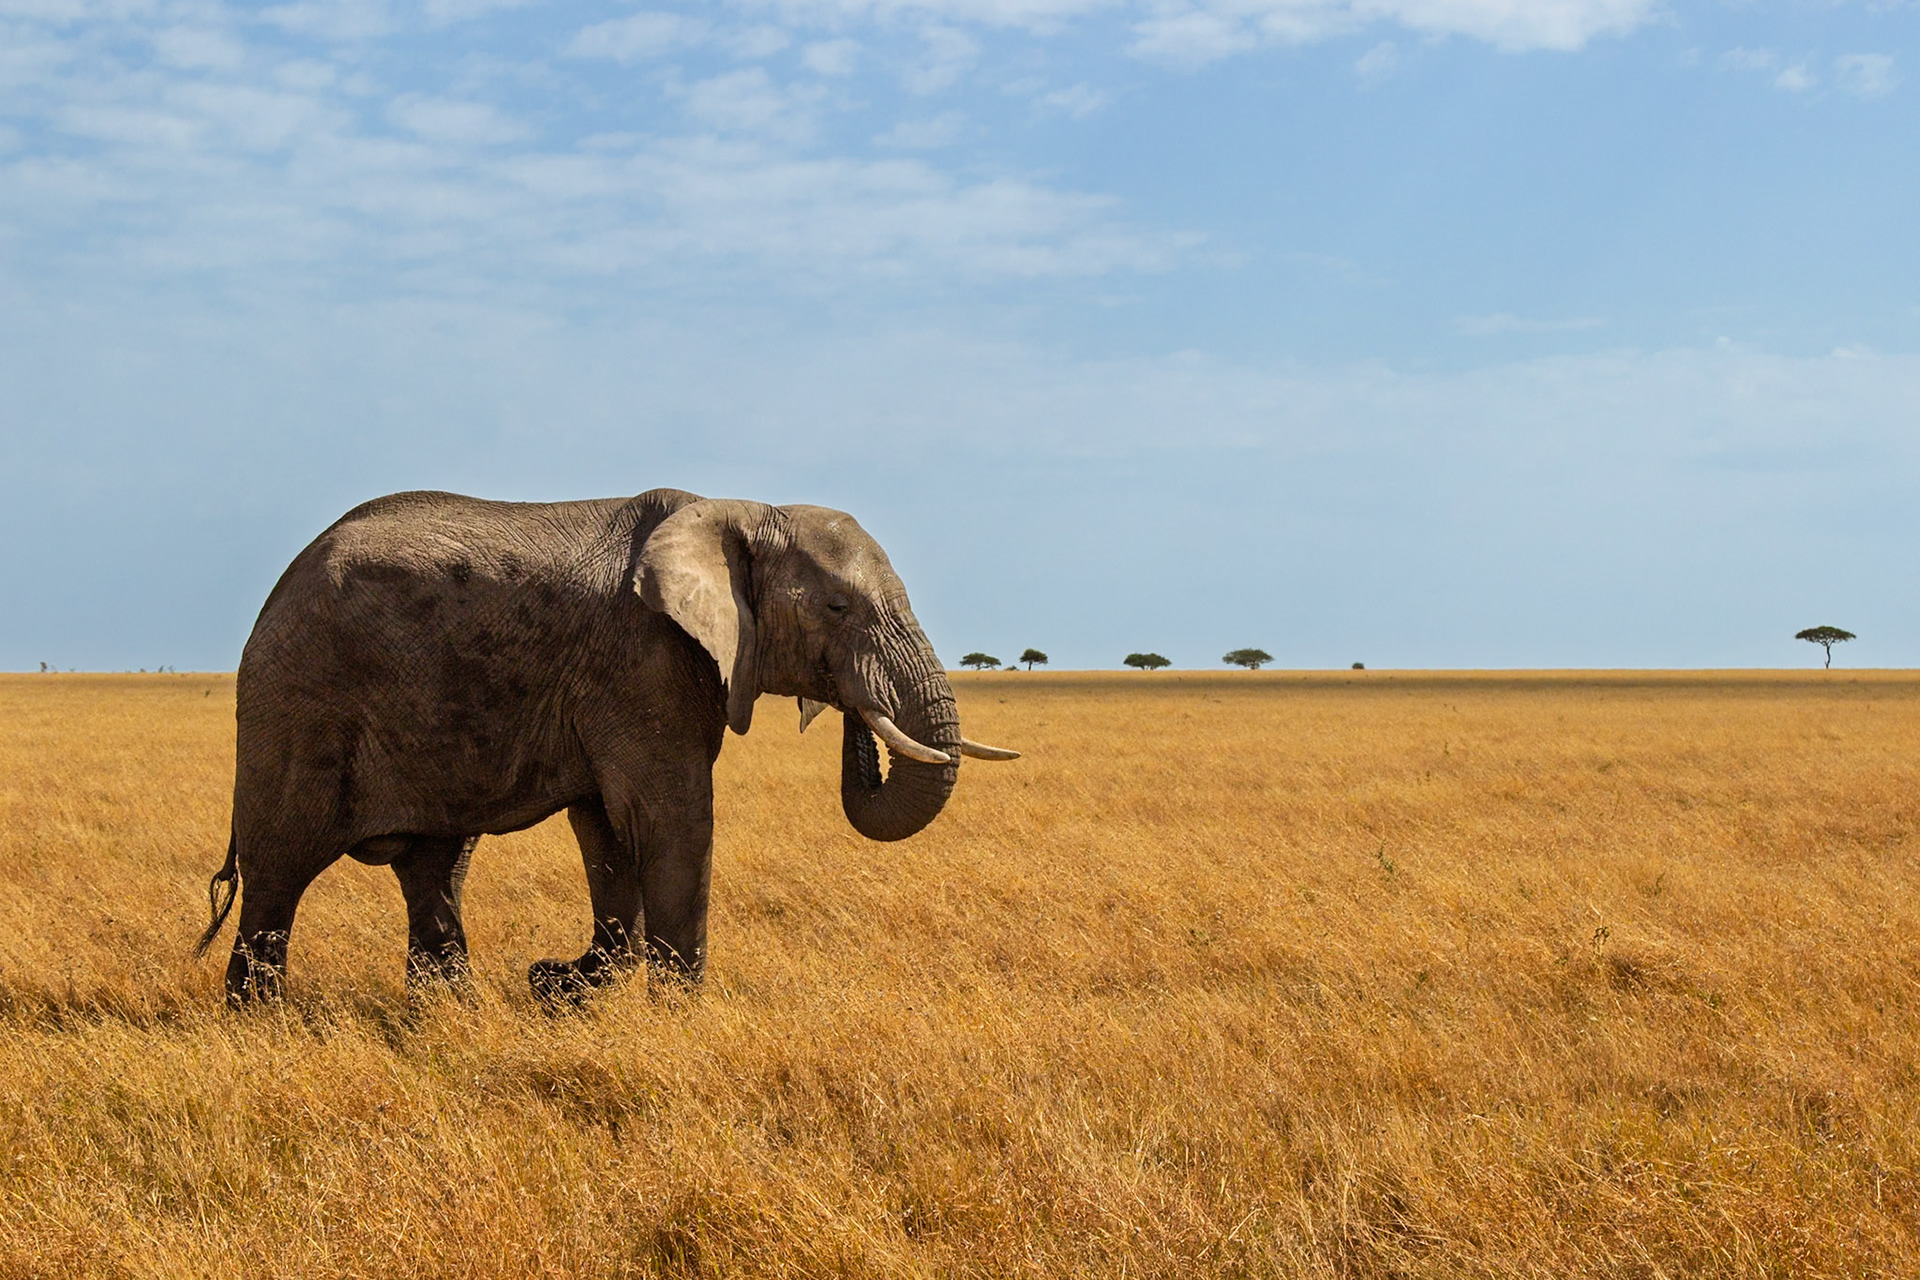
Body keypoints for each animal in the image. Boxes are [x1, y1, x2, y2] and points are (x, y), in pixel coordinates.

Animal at [195, 488, 1018, 1005]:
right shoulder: (644, 663)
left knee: (435, 864)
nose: (853, 708)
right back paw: (259, 1023)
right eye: (839, 608)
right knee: (278, 871)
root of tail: (275, 593)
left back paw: (449, 1015)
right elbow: (668, 819)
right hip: (296, 703)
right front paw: (679, 1015)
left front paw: (573, 986)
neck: (741, 509)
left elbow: (609, 830)